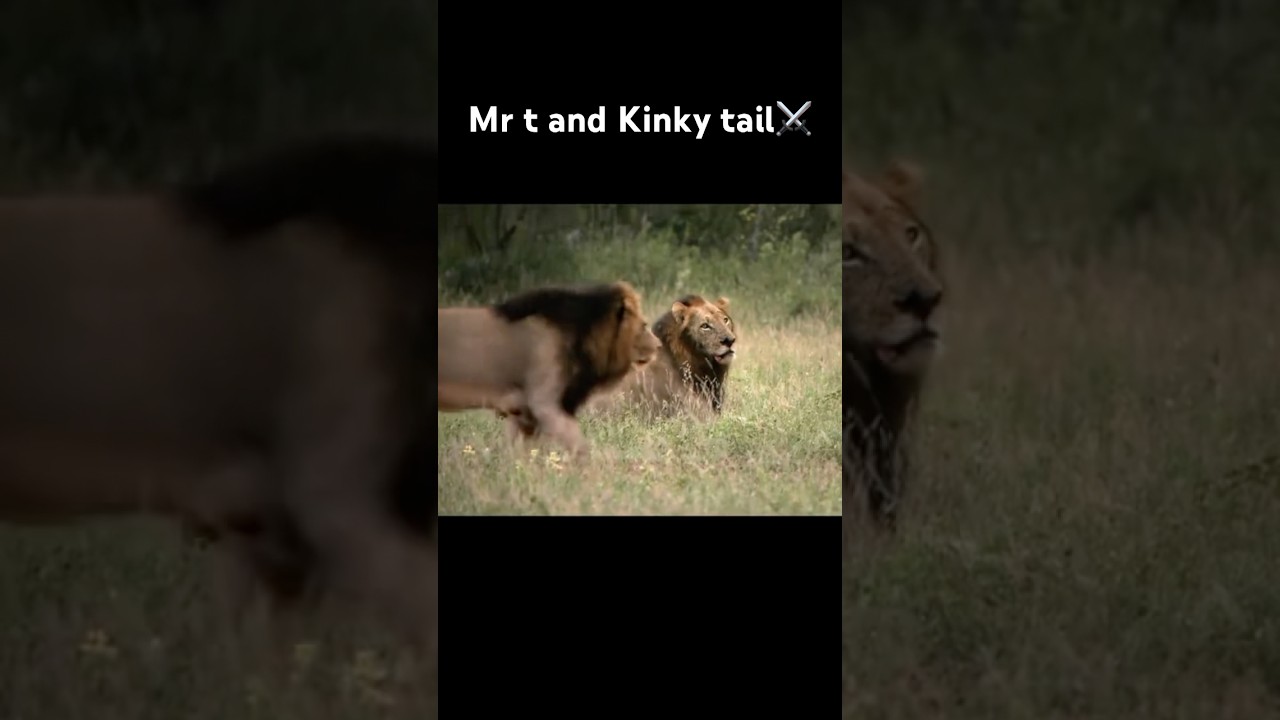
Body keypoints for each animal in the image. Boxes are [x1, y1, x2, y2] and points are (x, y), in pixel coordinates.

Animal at [437, 281, 661, 456]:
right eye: (644, 325)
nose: (659, 345)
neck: (584, 335)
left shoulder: (522, 413)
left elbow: (519, 452)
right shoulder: (544, 403)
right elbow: (581, 447)